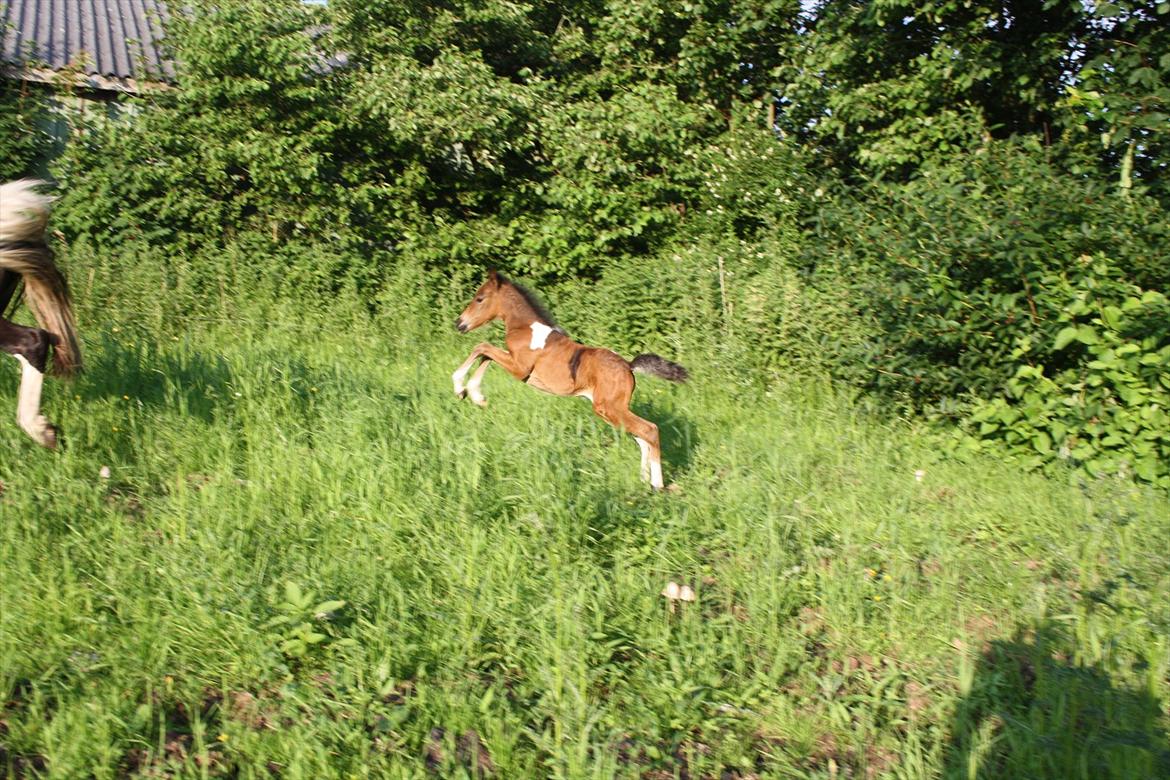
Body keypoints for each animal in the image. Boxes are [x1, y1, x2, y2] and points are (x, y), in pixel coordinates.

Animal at [453, 270, 688, 490]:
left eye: (480, 298)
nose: (459, 323)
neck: (525, 327)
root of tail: (629, 366)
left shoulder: (519, 368)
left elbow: (482, 347)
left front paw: (460, 388)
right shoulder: (513, 362)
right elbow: (485, 355)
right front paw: (474, 395)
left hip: (609, 408)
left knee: (649, 430)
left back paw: (657, 484)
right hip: (612, 410)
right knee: (641, 437)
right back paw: (644, 480)